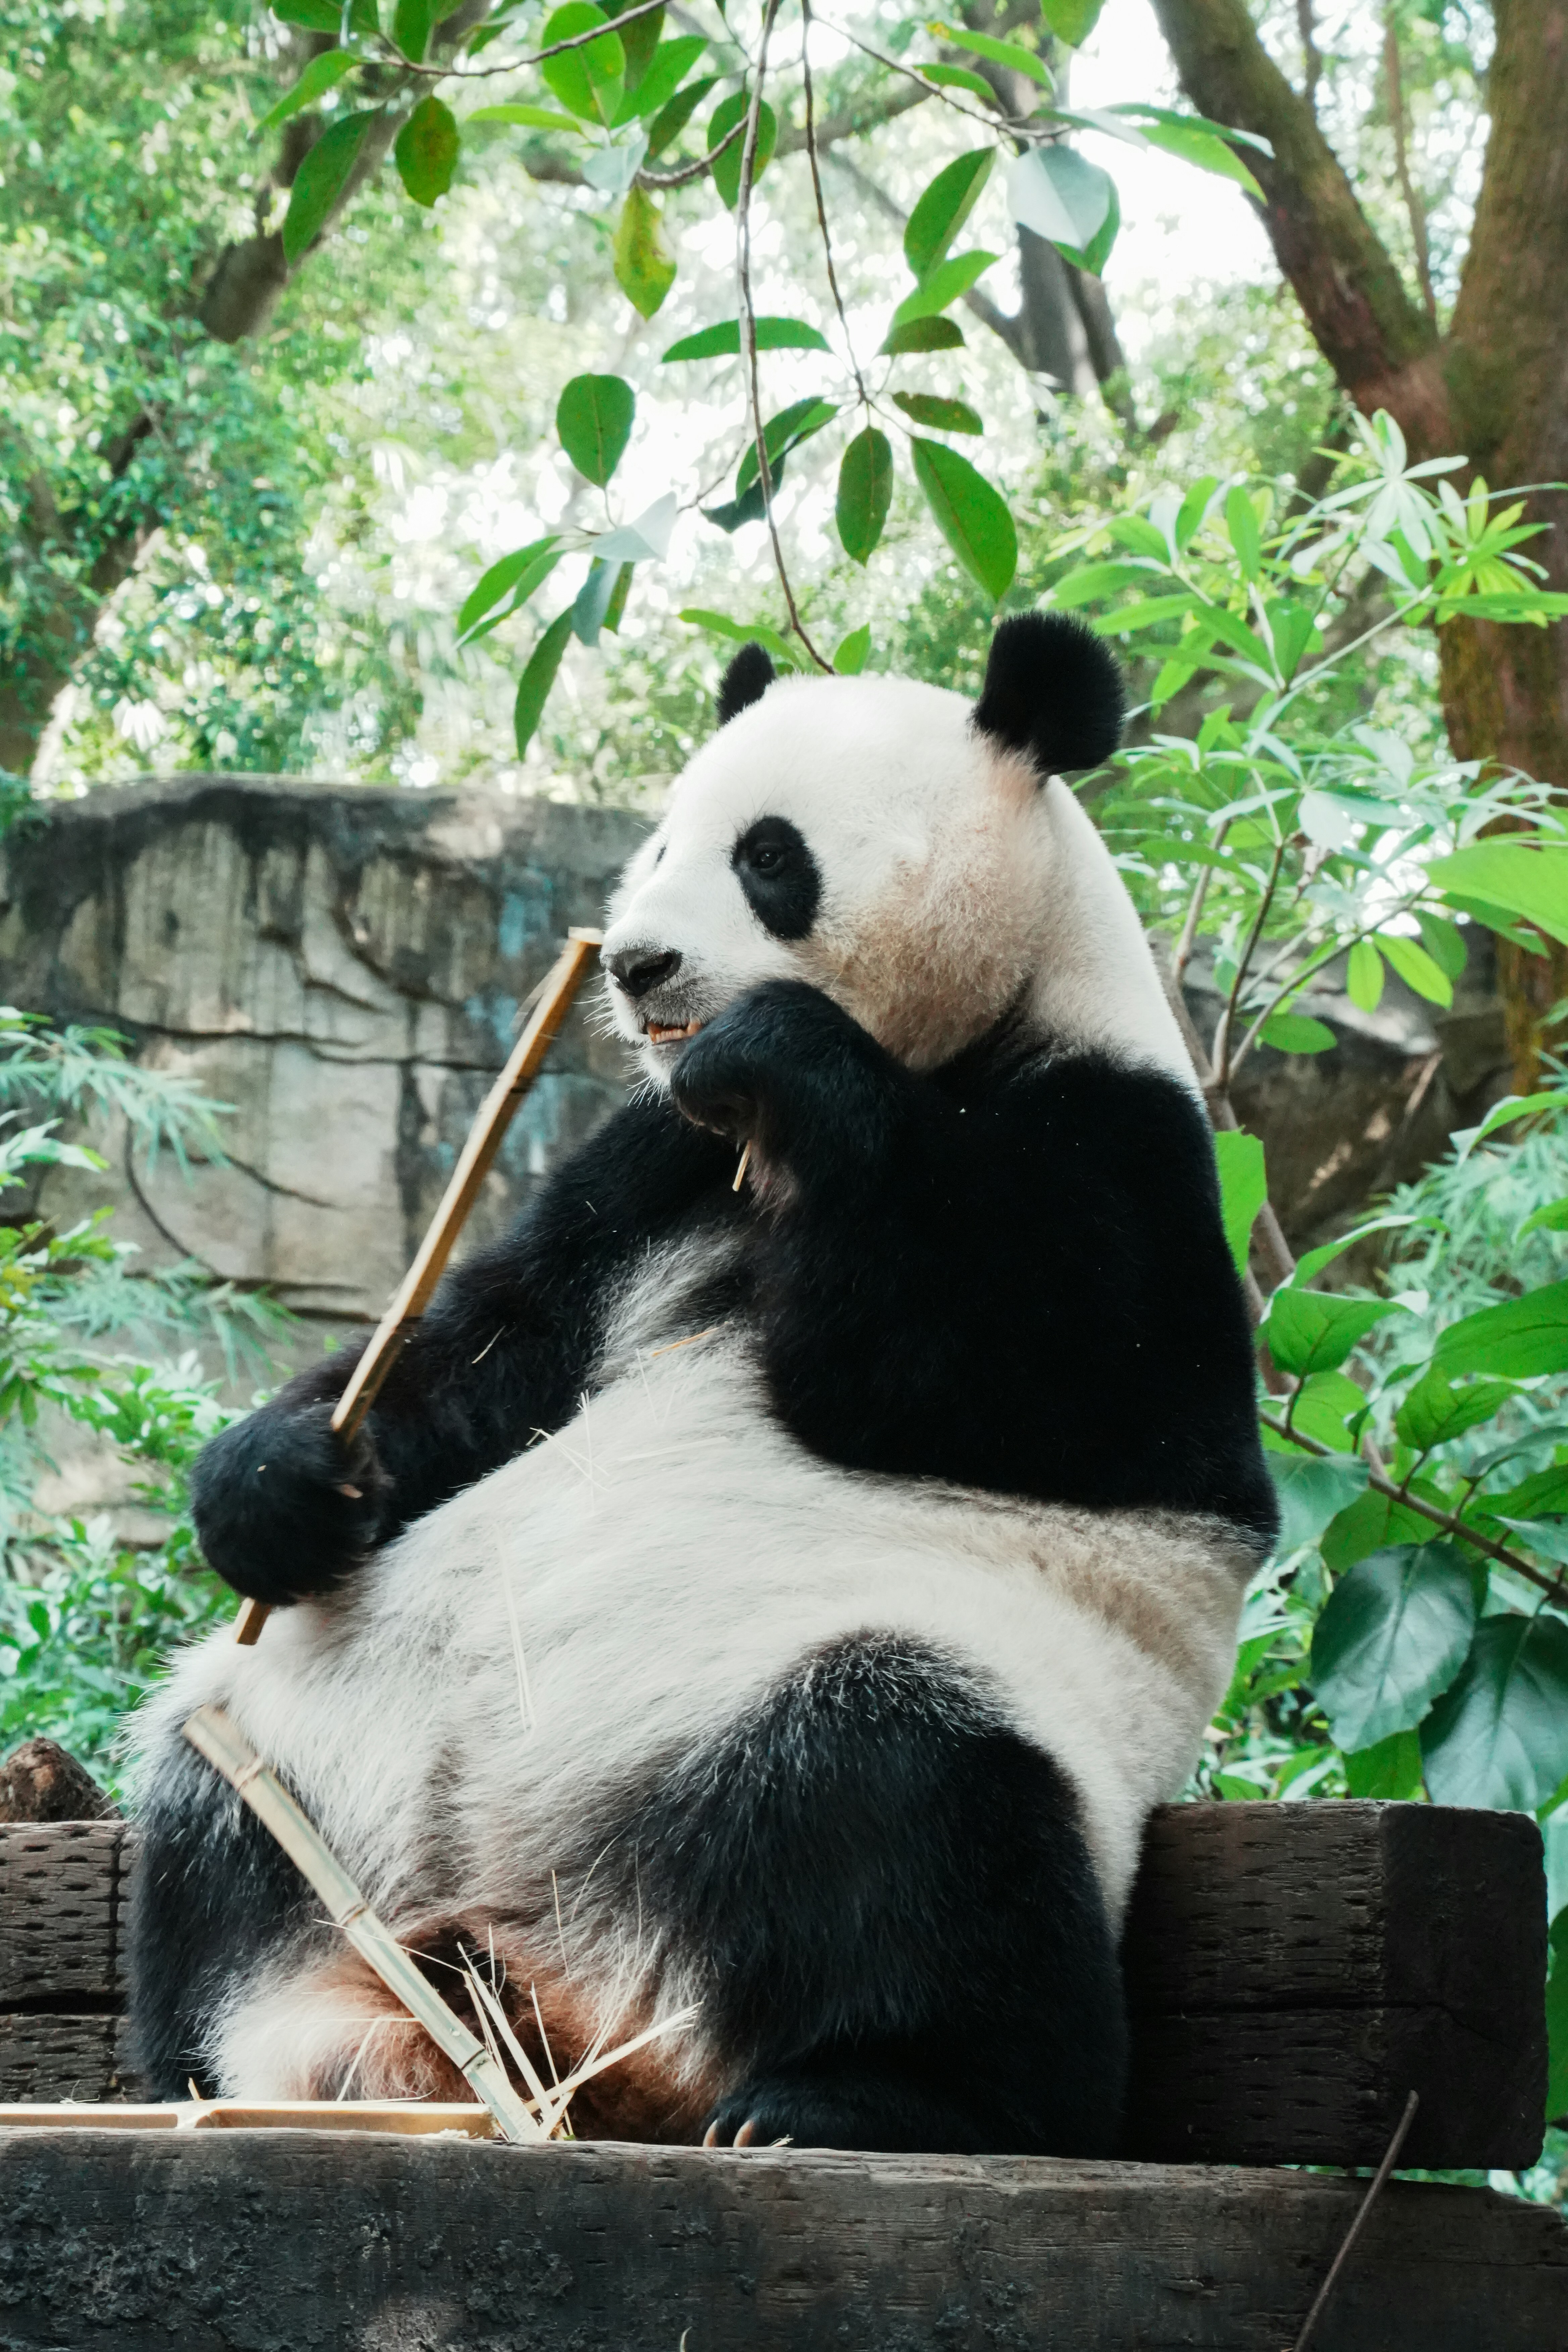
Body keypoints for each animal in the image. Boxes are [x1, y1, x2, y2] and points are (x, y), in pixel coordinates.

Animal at [128, 613, 1275, 2157]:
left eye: (769, 856)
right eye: (660, 839)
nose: (636, 964)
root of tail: (573, 2000)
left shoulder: (1123, 1148)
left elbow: (1040, 1386)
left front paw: (782, 1053)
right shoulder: (651, 1173)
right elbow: (503, 1347)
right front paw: (276, 1484)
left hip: (871, 1693)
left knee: (910, 1808)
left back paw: (861, 2094)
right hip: (324, 1743)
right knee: (214, 1817)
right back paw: (245, 2066)